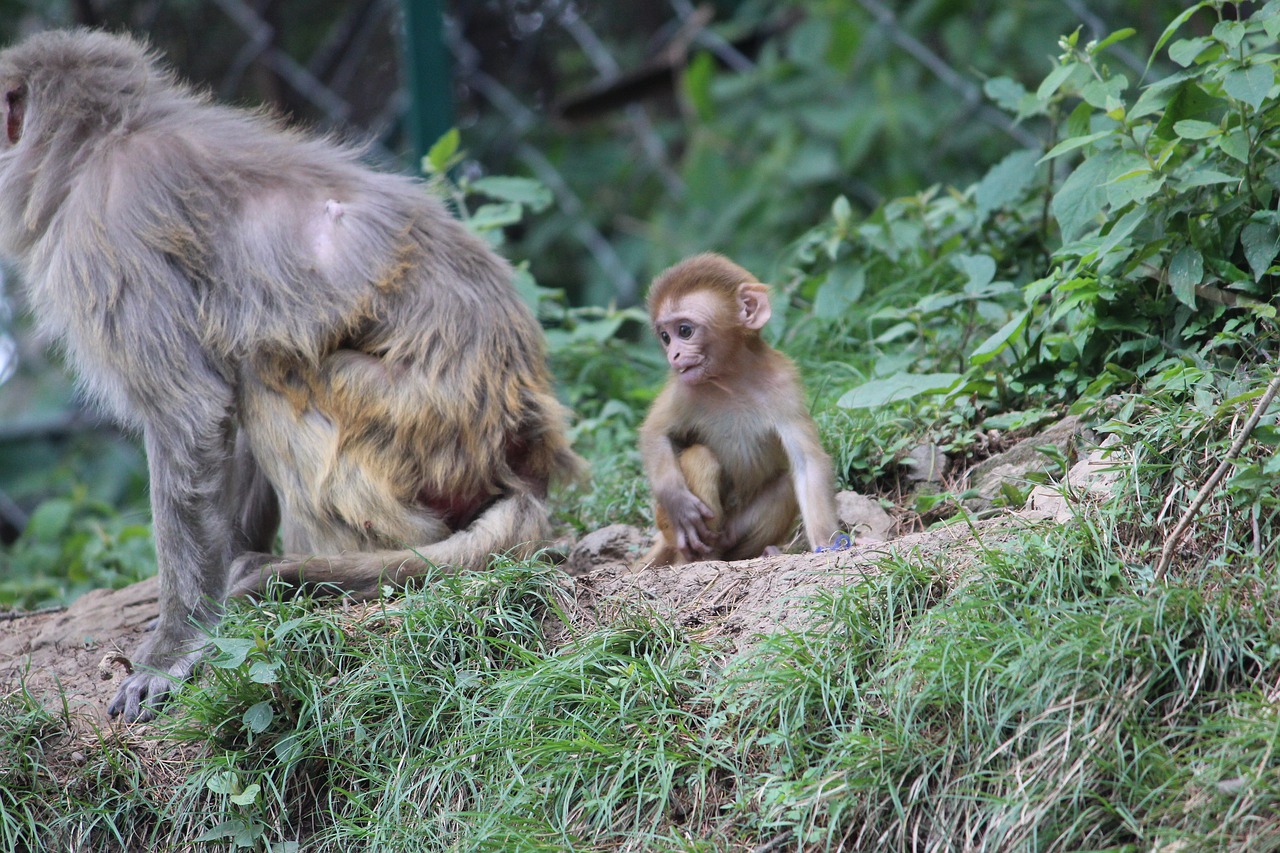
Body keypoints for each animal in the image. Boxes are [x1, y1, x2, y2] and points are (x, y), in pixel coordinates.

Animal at [0, 31, 583, 717]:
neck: (105, 139)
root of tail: (525, 440)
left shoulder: (109, 233)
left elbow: (189, 412)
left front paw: (175, 645)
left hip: (418, 427)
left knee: (264, 368)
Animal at [637, 256, 839, 568]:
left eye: (684, 331)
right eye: (665, 337)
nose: (674, 356)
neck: (733, 379)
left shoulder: (785, 384)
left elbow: (807, 463)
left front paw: (829, 545)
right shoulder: (684, 389)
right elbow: (654, 433)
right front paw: (678, 502)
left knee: (784, 484)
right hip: (667, 526)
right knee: (700, 458)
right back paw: (697, 560)